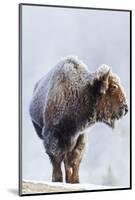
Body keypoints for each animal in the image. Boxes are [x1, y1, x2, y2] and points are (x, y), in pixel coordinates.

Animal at [29, 55, 127, 184]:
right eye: (114, 86)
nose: (126, 108)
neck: (81, 91)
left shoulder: (80, 136)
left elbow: (75, 158)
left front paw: (75, 180)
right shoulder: (53, 134)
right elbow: (56, 157)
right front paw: (57, 179)